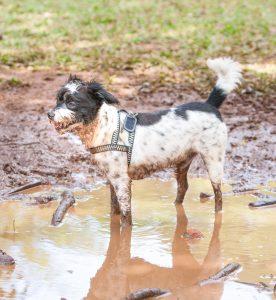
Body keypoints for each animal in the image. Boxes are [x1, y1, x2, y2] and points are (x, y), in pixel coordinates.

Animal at [47, 58, 242, 225]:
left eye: (72, 103)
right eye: (57, 100)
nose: (49, 114)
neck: (105, 127)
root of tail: (210, 105)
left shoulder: (122, 181)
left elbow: (126, 218)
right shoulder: (112, 179)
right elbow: (114, 211)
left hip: (214, 161)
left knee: (218, 196)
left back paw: (218, 216)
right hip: (182, 162)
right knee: (183, 188)